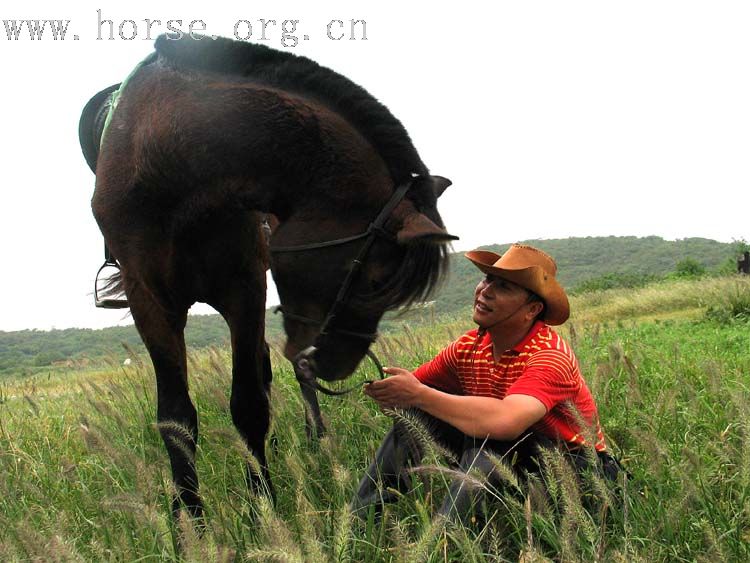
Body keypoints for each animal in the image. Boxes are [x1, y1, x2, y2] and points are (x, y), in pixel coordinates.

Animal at [82, 33, 458, 524]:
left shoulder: (244, 289)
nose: (338, 366)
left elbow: (249, 402)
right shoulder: (149, 299)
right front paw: (190, 518)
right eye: (377, 281)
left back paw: (311, 441)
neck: (175, 159)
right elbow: (176, 418)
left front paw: (262, 505)